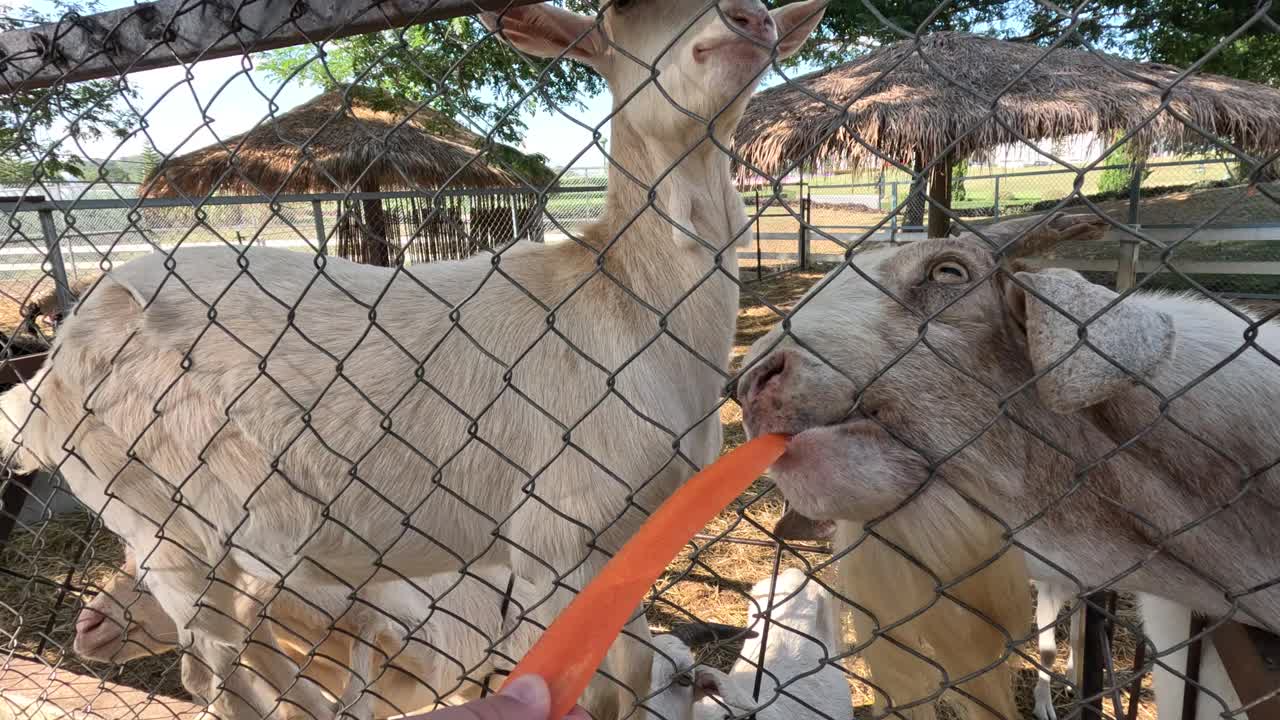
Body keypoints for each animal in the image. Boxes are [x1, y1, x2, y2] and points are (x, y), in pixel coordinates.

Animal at [0, 2, 829, 712]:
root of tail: (50, 370)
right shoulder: (555, 538)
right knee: (220, 663)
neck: (622, 300)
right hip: (154, 513)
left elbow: (627, 676)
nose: (750, 21)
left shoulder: (626, 541)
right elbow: (593, 688)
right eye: (617, 14)